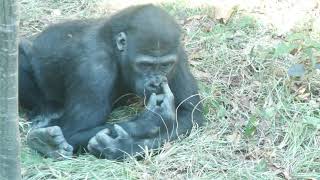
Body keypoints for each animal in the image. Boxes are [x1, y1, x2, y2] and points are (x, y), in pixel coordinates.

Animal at [20, 3, 204, 159]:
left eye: (165, 65)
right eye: (144, 65)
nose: (156, 83)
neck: (116, 49)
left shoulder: (179, 56)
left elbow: (189, 114)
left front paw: (123, 147)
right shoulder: (94, 67)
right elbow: (73, 131)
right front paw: (151, 120)